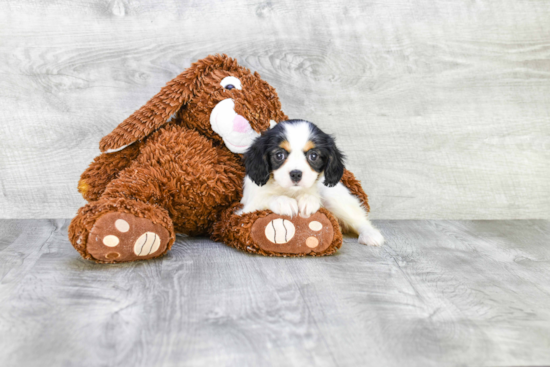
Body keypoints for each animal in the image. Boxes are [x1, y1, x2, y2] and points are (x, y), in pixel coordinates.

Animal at [244, 121, 386, 247]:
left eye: (313, 156)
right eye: (279, 155)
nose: (296, 174)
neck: (292, 191)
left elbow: (313, 195)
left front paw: (308, 200)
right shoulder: (247, 208)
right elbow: (267, 197)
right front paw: (284, 202)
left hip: (336, 198)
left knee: (358, 218)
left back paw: (370, 234)